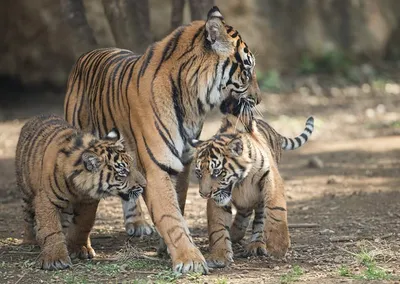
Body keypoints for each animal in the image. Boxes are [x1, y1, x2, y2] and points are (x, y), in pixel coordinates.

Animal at [64, 6, 260, 272]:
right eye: (247, 70)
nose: (259, 99)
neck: (194, 102)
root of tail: (87, 54)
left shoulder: (183, 162)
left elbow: (179, 202)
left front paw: (166, 247)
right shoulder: (157, 166)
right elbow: (170, 213)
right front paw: (189, 259)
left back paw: (137, 224)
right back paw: (77, 245)